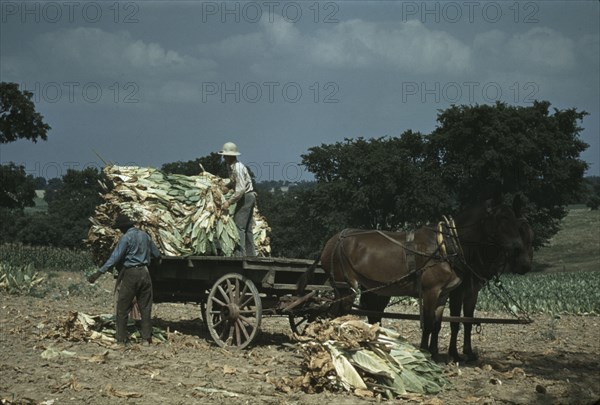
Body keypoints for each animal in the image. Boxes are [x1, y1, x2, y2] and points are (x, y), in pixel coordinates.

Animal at [298, 196, 532, 360]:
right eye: (501, 219)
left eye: (517, 222)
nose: (519, 253)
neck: (447, 246)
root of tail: (331, 241)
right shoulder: (432, 291)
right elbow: (430, 324)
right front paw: (427, 352)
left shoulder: (444, 294)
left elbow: (438, 324)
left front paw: (436, 353)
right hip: (345, 287)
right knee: (335, 315)